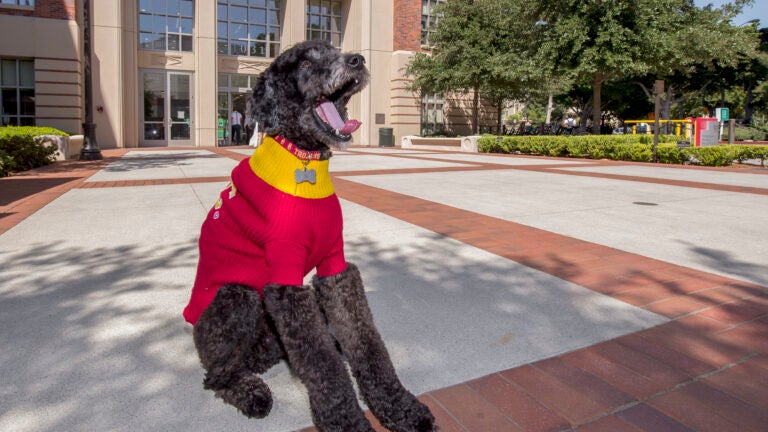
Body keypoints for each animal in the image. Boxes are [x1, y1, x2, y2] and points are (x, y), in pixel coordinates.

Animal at [190, 40, 436, 432]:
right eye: (305, 62)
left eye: (336, 50)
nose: (357, 60)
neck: (302, 159)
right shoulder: (286, 282)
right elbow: (323, 366)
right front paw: (347, 422)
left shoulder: (336, 268)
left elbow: (366, 341)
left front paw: (399, 406)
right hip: (237, 296)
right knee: (217, 374)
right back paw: (250, 392)